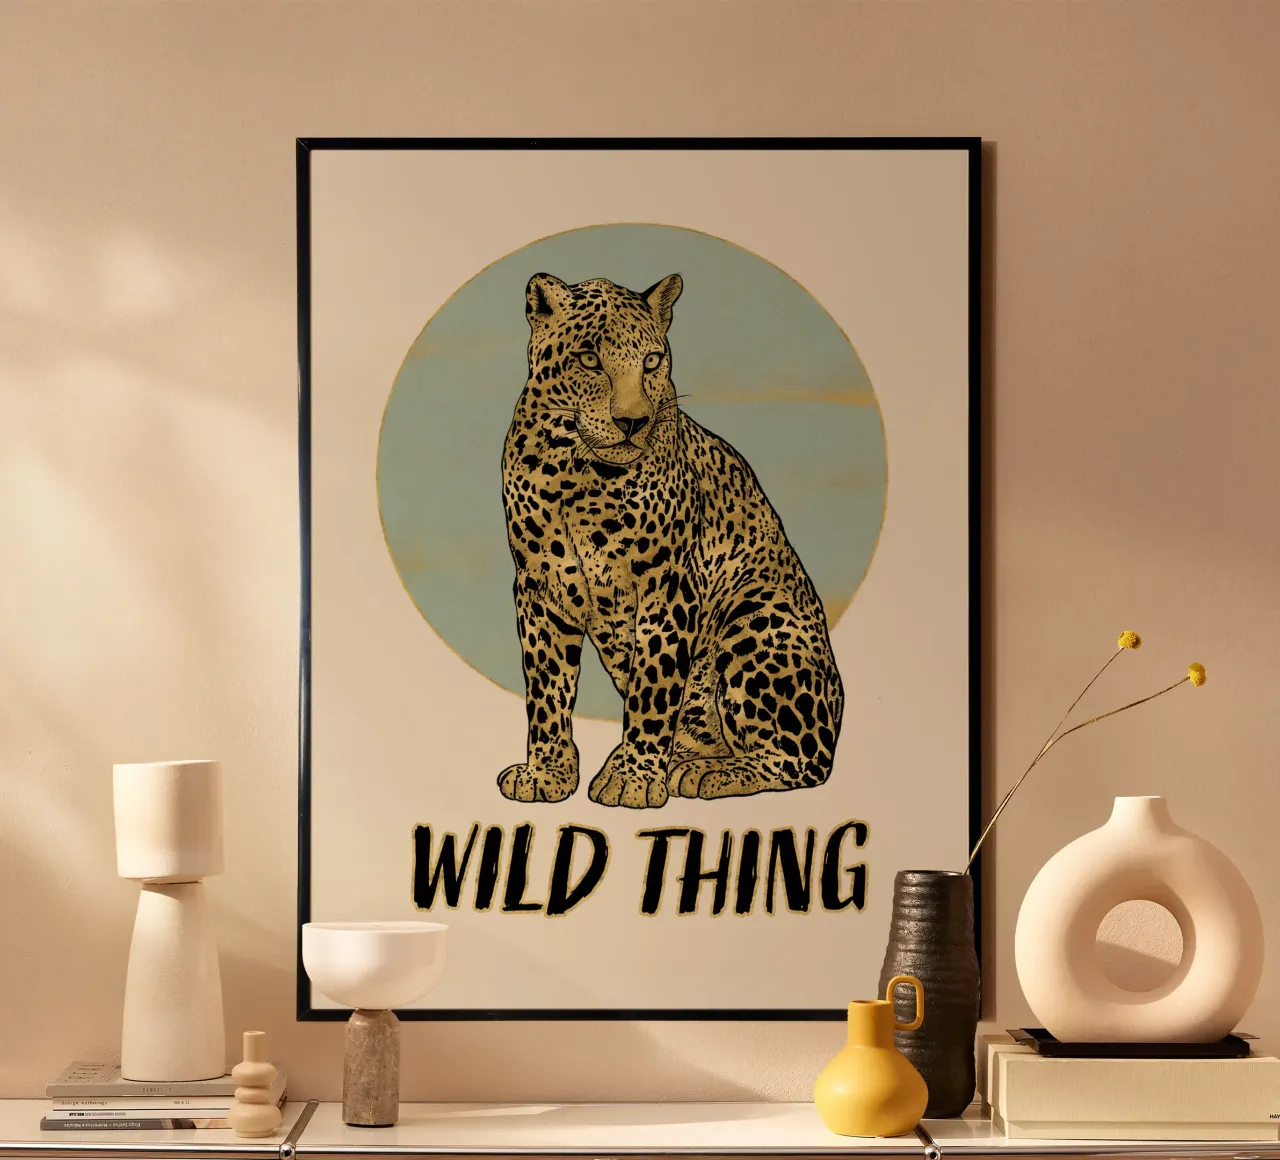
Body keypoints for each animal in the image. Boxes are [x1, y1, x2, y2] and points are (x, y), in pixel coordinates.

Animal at [497, 271, 844, 809]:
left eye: (652, 361)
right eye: (590, 358)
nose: (633, 422)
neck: (577, 473)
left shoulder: (669, 583)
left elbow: (654, 686)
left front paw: (635, 779)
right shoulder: (540, 584)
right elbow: (546, 686)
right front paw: (547, 772)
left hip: (755, 615)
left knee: (801, 759)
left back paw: (705, 772)